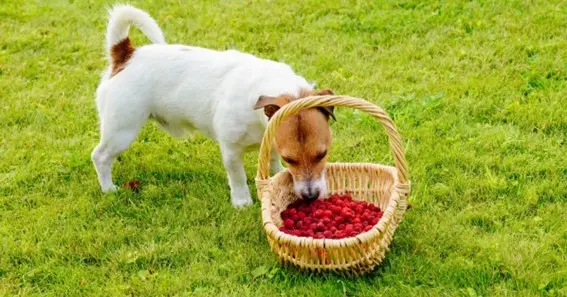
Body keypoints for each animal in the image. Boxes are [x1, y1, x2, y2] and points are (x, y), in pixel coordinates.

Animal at [91, 5, 336, 207]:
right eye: (291, 159)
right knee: (100, 156)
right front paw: (242, 202)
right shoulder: (231, 151)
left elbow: (273, 164)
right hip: (122, 130)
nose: (311, 196)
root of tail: (125, 55)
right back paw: (109, 189)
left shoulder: (271, 140)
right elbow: (237, 178)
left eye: (322, 154)